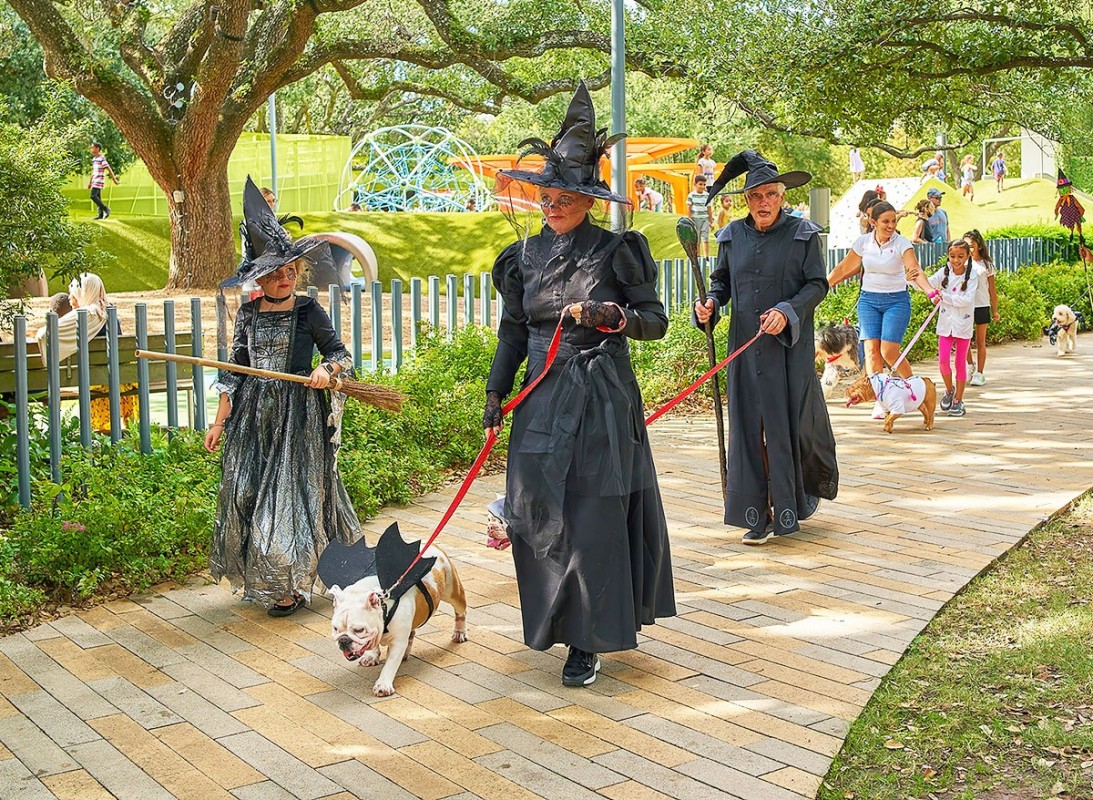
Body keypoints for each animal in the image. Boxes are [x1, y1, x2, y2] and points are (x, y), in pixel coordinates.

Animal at [327, 539, 465, 695]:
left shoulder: (397, 642)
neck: (384, 607)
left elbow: (390, 664)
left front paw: (383, 685)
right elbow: (373, 644)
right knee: (411, 633)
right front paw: (371, 656)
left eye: (359, 630)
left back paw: (459, 632)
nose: (344, 640)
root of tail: (432, 545)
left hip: (452, 591)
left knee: (461, 610)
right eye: (335, 628)